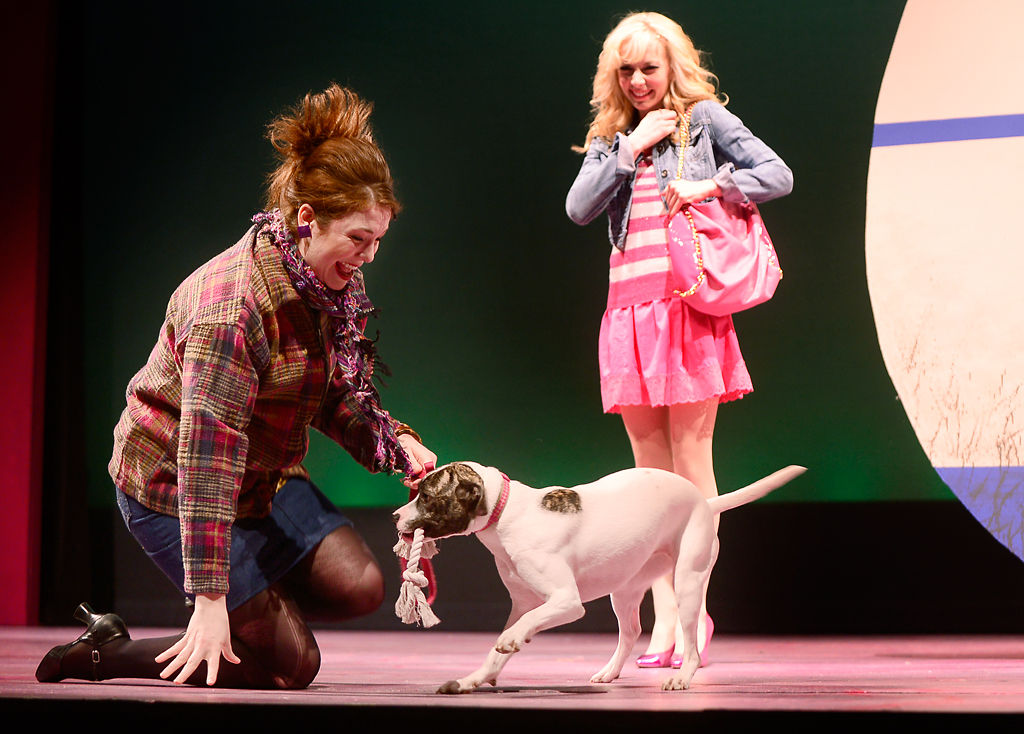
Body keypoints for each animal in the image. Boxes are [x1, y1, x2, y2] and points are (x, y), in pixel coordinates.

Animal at [395, 460, 802, 692]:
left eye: (426, 496)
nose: (395, 516)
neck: (506, 513)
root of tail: (703, 500)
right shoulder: (521, 603)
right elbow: (500, 646)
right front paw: (474, 679)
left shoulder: (565, 601)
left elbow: (521, 627)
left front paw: (511, 641)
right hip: (624, 589)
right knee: (632, 631)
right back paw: (610, 672)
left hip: (688, 582)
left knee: (691, 644)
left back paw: (682, 677)